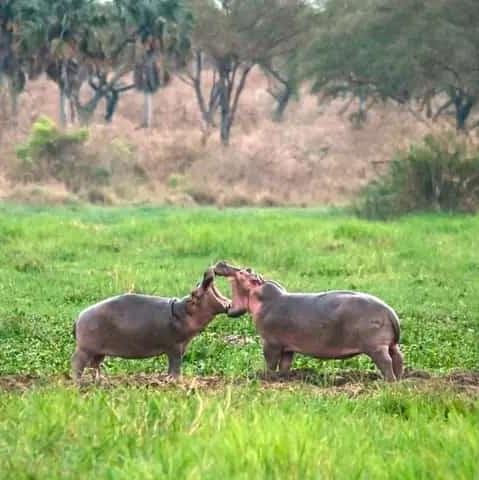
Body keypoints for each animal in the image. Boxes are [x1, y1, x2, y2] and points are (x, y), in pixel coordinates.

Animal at [70, 266, 232, 382]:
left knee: (94, 365)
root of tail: (78, 317)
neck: (183, 311)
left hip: (98, 351)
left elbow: (173, 365)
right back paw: (78, 383)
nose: (208, 270)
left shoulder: (181, 346)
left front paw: (169, 379)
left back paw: (101, 380)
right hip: (85, 349)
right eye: (194, 292)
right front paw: (175, 381)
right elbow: (175, 365)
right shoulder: (175, 347)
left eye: (198, 283)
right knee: (77, 363)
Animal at [216, 260, 404, 380]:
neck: (262, 296)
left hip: (375, 347)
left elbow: (270, 361)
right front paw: (282, 378)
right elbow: (285, 363)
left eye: (244, 271)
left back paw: (388, 382)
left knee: (386, 361)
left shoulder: (271, 342)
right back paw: (399, 378)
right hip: (390, 344)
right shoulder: (287, 345)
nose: (221, 262)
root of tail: (390, 312)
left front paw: (266, 377)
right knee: (398, 357)